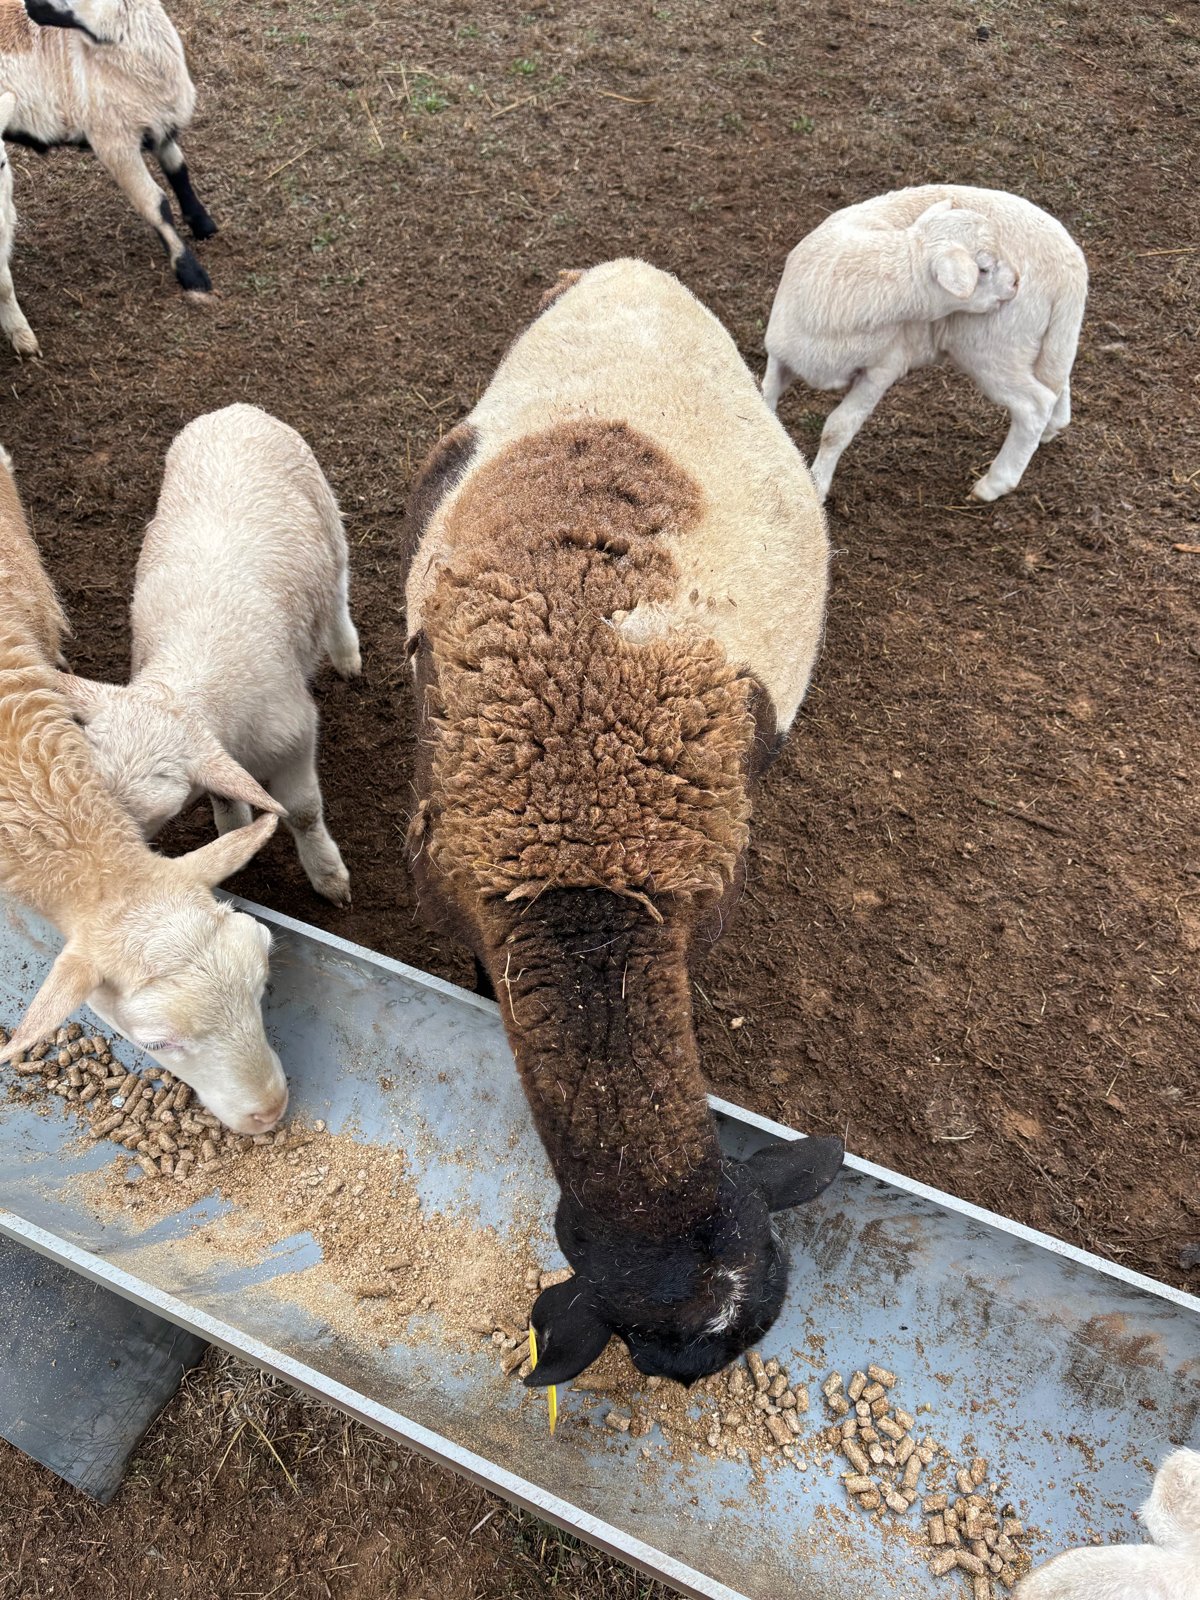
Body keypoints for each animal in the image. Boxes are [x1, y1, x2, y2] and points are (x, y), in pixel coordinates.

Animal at [0, 0, 216, 303]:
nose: (30, 6)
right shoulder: (114, 142)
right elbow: (155, 204)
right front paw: (190, 273)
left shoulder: (158, 126)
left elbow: (179, 173)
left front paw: (203, 224)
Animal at [60, 404, 360, 906]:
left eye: (148, 819)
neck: (189, 676)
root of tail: (237, 409)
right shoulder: (220, 746)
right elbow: (224, 792)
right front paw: (235, 832)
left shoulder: (295, 735)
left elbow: (302, 811)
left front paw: (328, 875)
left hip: (326, 515)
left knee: (338, 588)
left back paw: (346, 653)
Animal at [763, 184, 1088, 503]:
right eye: (983, 269)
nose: (1016, 282)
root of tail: (1072, 266)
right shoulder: (780, 352)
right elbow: (767, 402)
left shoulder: (883, 369)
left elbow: (837, 428)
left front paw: (817, 486)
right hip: (1041, 340)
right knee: (1054, 379)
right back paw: (1052, 427)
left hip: (994, 347)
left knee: (1034, 404)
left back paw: (993, 484)